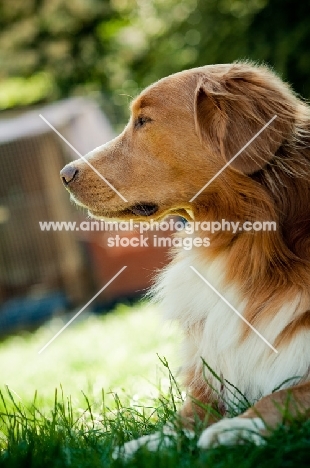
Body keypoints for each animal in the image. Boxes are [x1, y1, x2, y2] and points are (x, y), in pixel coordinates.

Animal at [59, 63, 310, 454]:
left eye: (143, 121)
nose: (65, 174)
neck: (244, 243)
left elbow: (285, 395)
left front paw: (235, 428)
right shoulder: (210, 385)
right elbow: (175, 426)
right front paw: (131, 449)